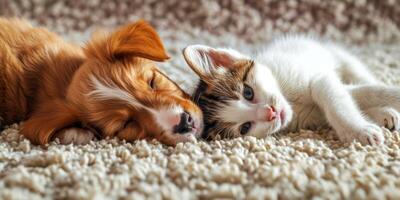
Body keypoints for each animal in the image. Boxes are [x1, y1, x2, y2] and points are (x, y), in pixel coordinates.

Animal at [182, 36, 400, 145]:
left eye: (248, 93)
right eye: (245, 127)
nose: (271, 113)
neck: (290, 99)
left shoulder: (318, 77)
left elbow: (348, 97)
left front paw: (359, 130)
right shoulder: (310, 115)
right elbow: (350, 96)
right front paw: (362, 127)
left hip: (336, 55)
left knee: (360, 75)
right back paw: (385, 115)